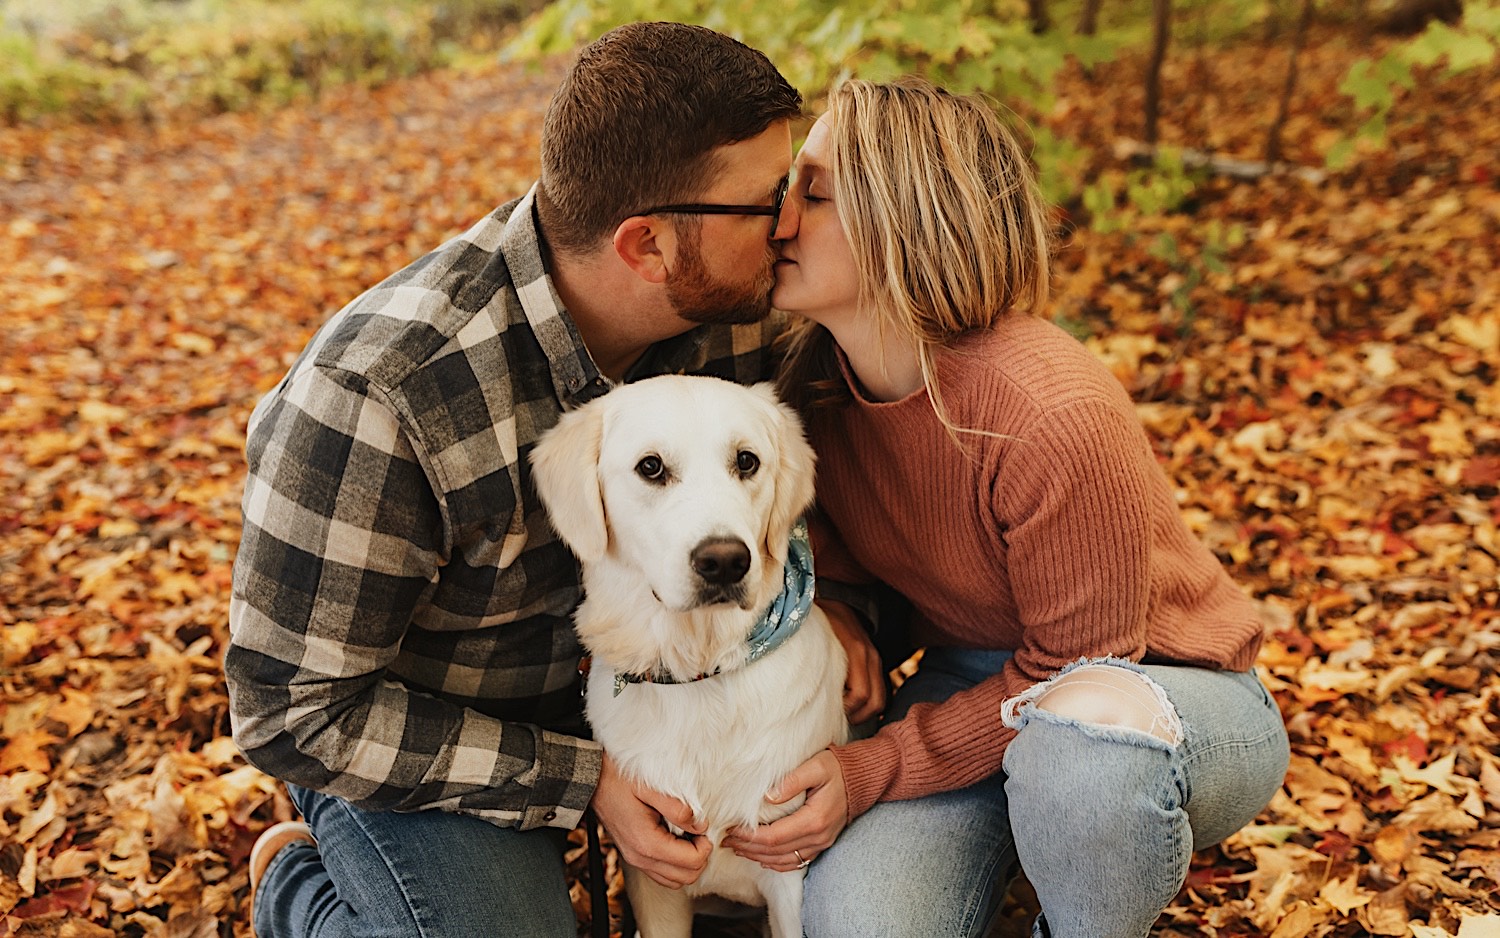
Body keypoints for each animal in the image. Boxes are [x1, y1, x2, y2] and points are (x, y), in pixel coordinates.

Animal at [534, 373, 852, 936]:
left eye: (746, 461)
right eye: (651, 467)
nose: (724, 561)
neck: (701, 671)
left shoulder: (787, 868)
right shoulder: (653, 878)